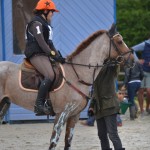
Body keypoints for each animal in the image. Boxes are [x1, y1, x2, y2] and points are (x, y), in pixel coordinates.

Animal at [0, 24, 134, 149]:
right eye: (119, 41)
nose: (132, 60)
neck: (77, 74)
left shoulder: (74, 116)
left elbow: (68, 142)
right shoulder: (62, 113)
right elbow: (53, 142)